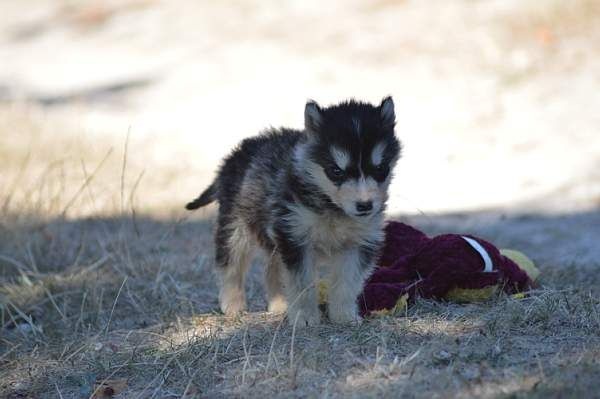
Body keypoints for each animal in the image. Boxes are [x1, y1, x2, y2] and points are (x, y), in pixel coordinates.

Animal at [186, 97, 404, 328]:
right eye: (336, 171)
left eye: (380, 168)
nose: (365, 205)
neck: (331, 207)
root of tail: (240, 151)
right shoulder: (295, 238)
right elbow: (302, 283)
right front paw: (305, 317)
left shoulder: (360, 243)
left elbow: (347, 283)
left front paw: (343, 315)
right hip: (235, 226)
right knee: (230, 264)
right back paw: (233, 305)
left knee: (273, 270)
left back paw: (280, 304)